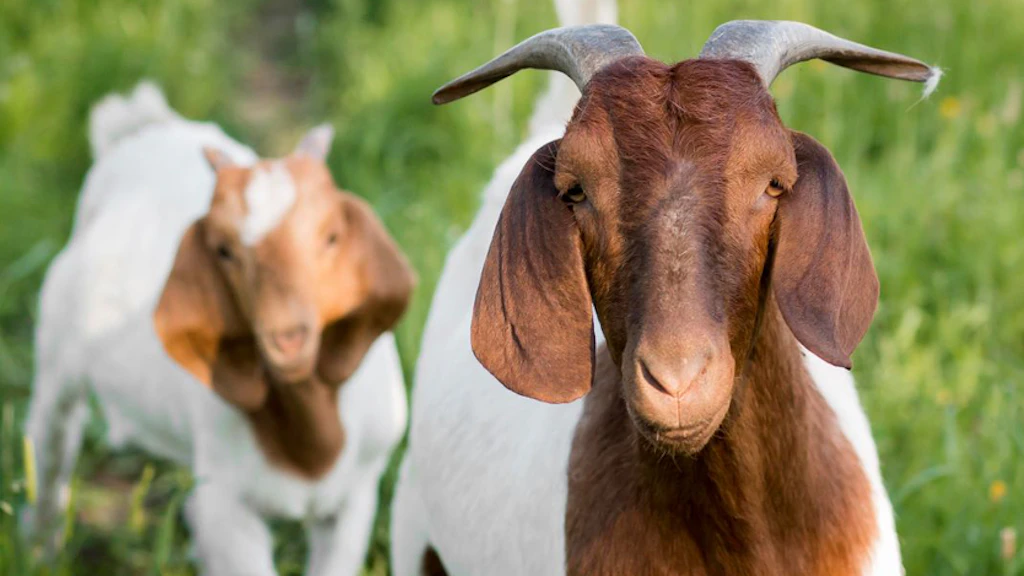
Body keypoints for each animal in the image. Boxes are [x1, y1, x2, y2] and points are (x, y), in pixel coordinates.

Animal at [24, 83, 415, 576]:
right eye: (224, 250)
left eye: (330, 237)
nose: (286, 338)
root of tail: (142, 131)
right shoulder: (229, 504)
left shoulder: (357, 494)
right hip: (56, 354)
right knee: (50, 441)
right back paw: (39, 549)